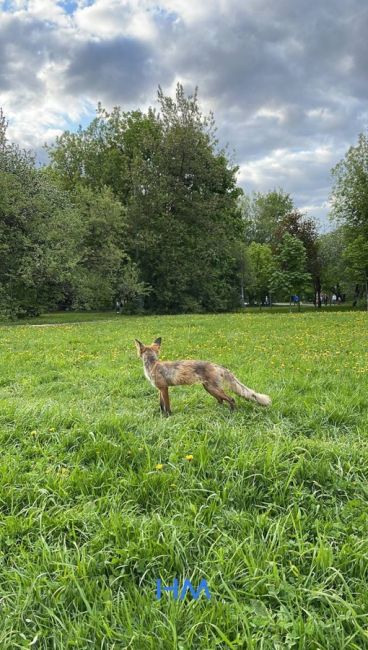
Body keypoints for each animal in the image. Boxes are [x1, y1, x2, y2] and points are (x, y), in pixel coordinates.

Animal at [134, 336, 270, 412]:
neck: (153, 365)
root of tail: (218, 365)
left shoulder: (164, 388)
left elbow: (166, 406)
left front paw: (168, 417)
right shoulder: (160, 389)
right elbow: (161, 405)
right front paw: (162, 415)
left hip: (212, 388)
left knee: (231, 399)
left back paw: (233, 413)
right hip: (209, 389)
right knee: (221, 400)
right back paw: (218, 410)